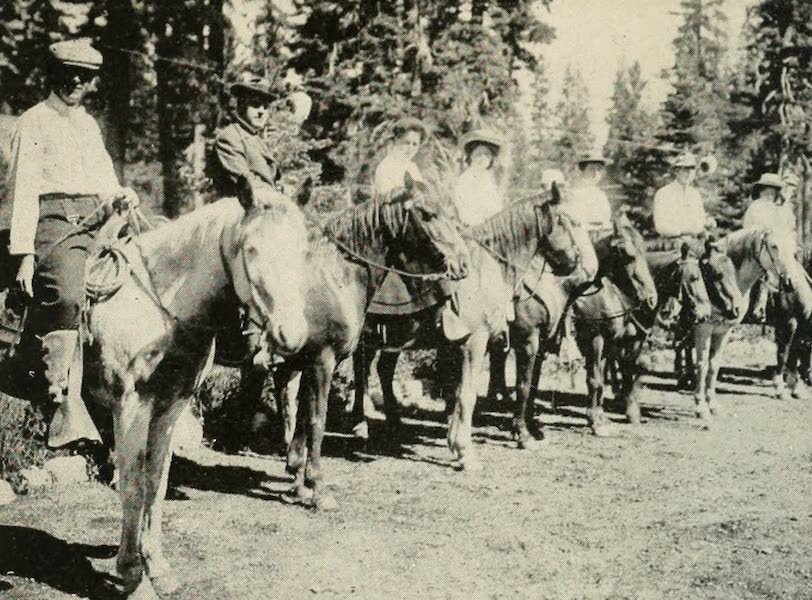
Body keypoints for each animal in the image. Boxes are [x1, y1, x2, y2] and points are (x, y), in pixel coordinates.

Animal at [272, 173, 470, 510]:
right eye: (428, 214)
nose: (462, 263)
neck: (333, 278)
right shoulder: (322, 361)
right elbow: (317, 420)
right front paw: (318, 487)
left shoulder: (307, 360)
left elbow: (303, 417)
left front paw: (298, 480)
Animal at [348, 191, 584, 468]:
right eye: (564, 221)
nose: (575, 260)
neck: (489, 270)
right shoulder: (494, 342)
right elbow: (496, 392)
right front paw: (473, 450)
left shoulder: (467, 346)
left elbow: (459, 392)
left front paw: (455, 442)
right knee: (362, 371)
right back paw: (361, 424)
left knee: (378, 370)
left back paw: (387, 422)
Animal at [688, 230, 812, 422]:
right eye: (774, 246)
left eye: (793, 250)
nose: (790, 282)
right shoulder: (788, 323)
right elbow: (784, 355)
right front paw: (780, 389)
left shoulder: (799, 325)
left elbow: (795, 354)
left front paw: (796, 388)